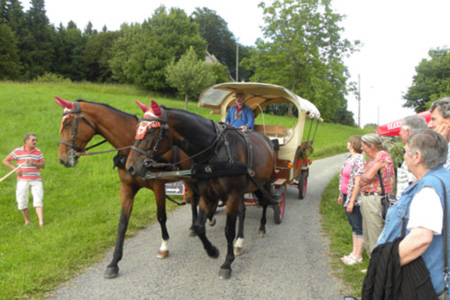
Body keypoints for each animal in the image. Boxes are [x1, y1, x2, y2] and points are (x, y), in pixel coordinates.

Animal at [54, 98, 202, 278]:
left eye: (68, 123)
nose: (62, 159)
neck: (132, 144)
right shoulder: (127, 188)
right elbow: (122, 223)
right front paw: (114, 262)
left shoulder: (158, 185)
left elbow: (161, 216)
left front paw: (164, 247)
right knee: (193, 197)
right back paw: (194, 226)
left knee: (195, 197)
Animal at [125, 99, 276, 280]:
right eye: (137, 129)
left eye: (152, 130)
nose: (130, 167)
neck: (216, 152)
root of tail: (267, 139)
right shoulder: (207, 195)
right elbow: (199, 226)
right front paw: (212, 251)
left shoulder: (232, 195)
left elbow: (228, 231)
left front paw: (227, 263)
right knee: (243, 210)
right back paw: (239, 243)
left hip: (264, 183)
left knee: (266, 203)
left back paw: (261, 228)